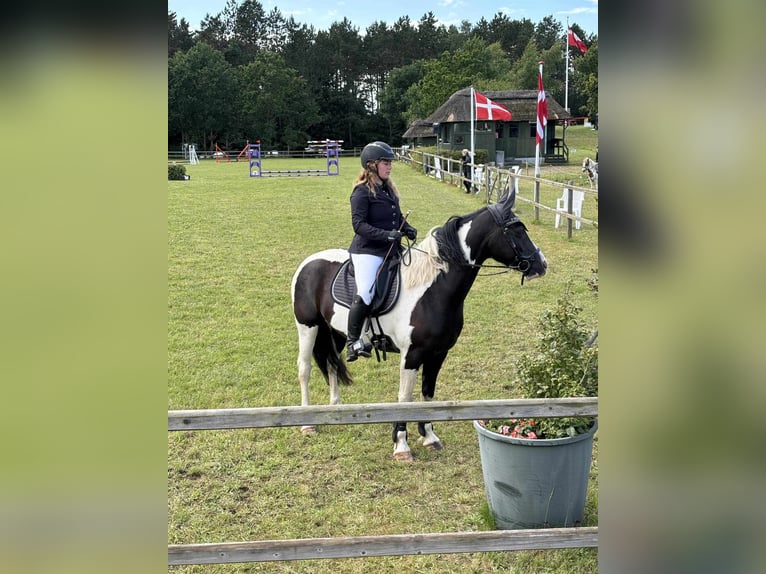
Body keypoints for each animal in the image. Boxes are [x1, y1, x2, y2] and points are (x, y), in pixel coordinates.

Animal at [292, 189, 548, 464]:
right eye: (516, 230)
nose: (542, 264)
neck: (432, 290)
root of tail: (308, 263)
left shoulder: (438, 353)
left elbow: (428, 394)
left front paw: (429, 437)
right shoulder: (412, 354)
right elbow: (405, 398)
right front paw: (401, 446)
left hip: (336, 333)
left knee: (331, 364)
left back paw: (335, 410)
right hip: (308, 327)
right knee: (305, 369)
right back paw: (307, 423)